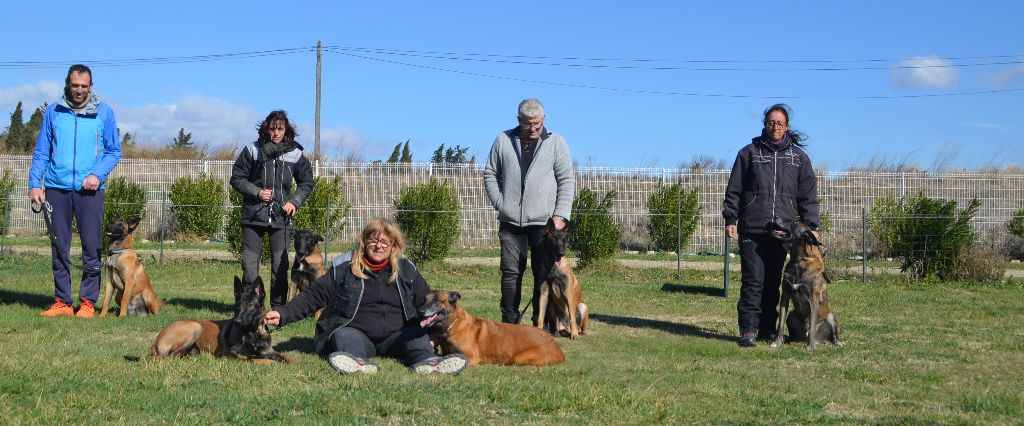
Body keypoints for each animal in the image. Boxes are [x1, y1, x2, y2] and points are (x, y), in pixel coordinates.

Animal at [128, 278, 294, 364]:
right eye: (237, 306)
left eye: (250, 306)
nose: (237, 321)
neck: (253, 332)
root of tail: (155, 341)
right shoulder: (235, 354)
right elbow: (258, 359)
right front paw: (271, 361)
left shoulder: (269, 350)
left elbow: (288, 357)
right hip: (194, 327)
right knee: (168, 357)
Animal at [417, 288, 569, 366]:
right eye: (424, 300)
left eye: (436, 300)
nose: (420, 312)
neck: (452, 324)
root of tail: (557, 348)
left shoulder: (471, 357)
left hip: (519, 358)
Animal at [770, 218, 839, 350]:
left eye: (795, 222)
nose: (775, 217)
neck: (799, 261)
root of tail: (820, 340)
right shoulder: (785, 296)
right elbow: (780, 323)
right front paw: (777, 342)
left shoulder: (813, 299)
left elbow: (812, 325)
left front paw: (810, 347)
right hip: (791, 314)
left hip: (831, 316)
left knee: (833, 335)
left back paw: (836, 343)